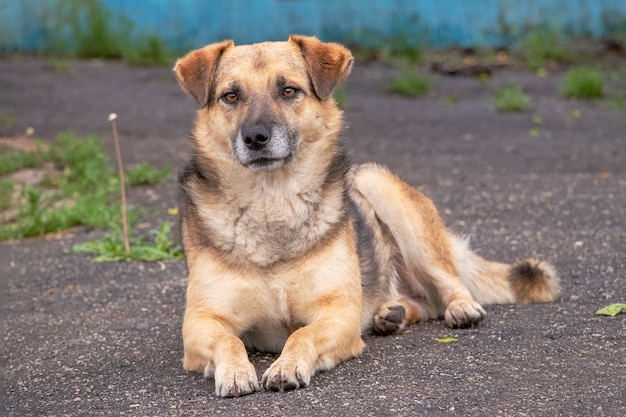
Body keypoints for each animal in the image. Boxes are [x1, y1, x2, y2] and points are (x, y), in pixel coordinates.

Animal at [172, 35, 560, 396]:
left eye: (288, 90)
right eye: (230, 96)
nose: (255, 137)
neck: (273, 202)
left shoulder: (338, 313)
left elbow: (302, 335)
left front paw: (286, 366)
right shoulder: (200, 322)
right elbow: (229, 339)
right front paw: (236, 372)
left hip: (380, 188)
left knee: (449, 284)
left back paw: (460, 308)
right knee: (425, 302)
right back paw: (392, 314)